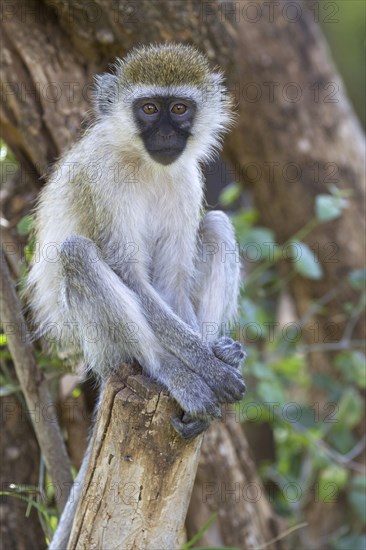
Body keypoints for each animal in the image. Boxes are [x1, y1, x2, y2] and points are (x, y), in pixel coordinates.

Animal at [27, 44, 246, 550]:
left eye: (179, 108)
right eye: (148, 108)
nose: (165, 132)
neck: (145, 164)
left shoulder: (186, 181)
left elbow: (170, 280)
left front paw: (210, 356)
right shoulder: (101, 181)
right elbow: (131, 275)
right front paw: (203, 369)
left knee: (217, 225)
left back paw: (217, 349)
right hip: (97, 344)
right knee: (77, 254)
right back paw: (172, 373)